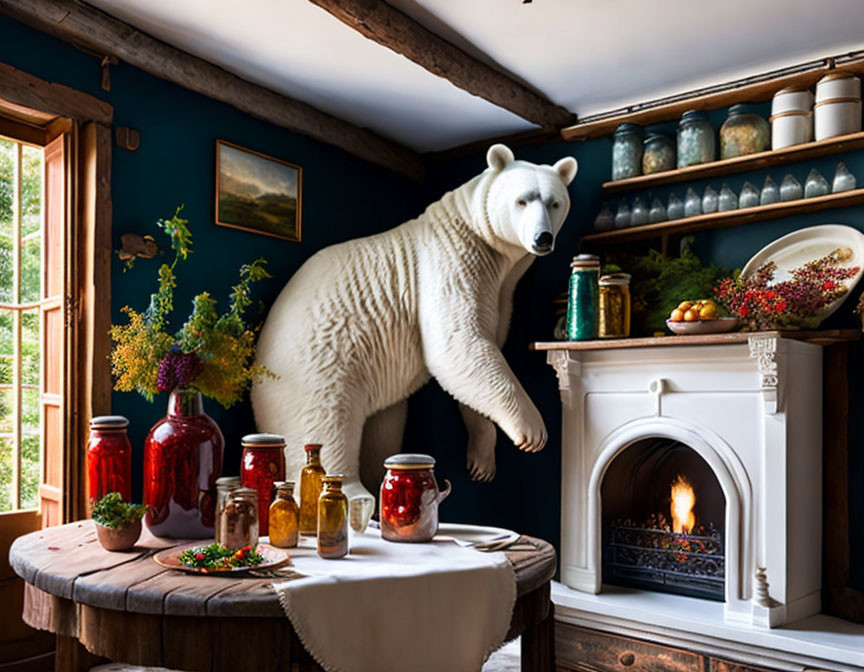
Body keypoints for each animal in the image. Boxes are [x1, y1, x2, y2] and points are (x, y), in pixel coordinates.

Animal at [250, 144, 576, 528]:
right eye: (522, 200)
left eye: (554, 202)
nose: (543, 238)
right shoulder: (450, 261)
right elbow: (457, 345)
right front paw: (533, 429)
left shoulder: (499, 291)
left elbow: (478, 357)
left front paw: (482, 461)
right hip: (316, 360)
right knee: (325, 419)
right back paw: (358, 496)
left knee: (383, 426)